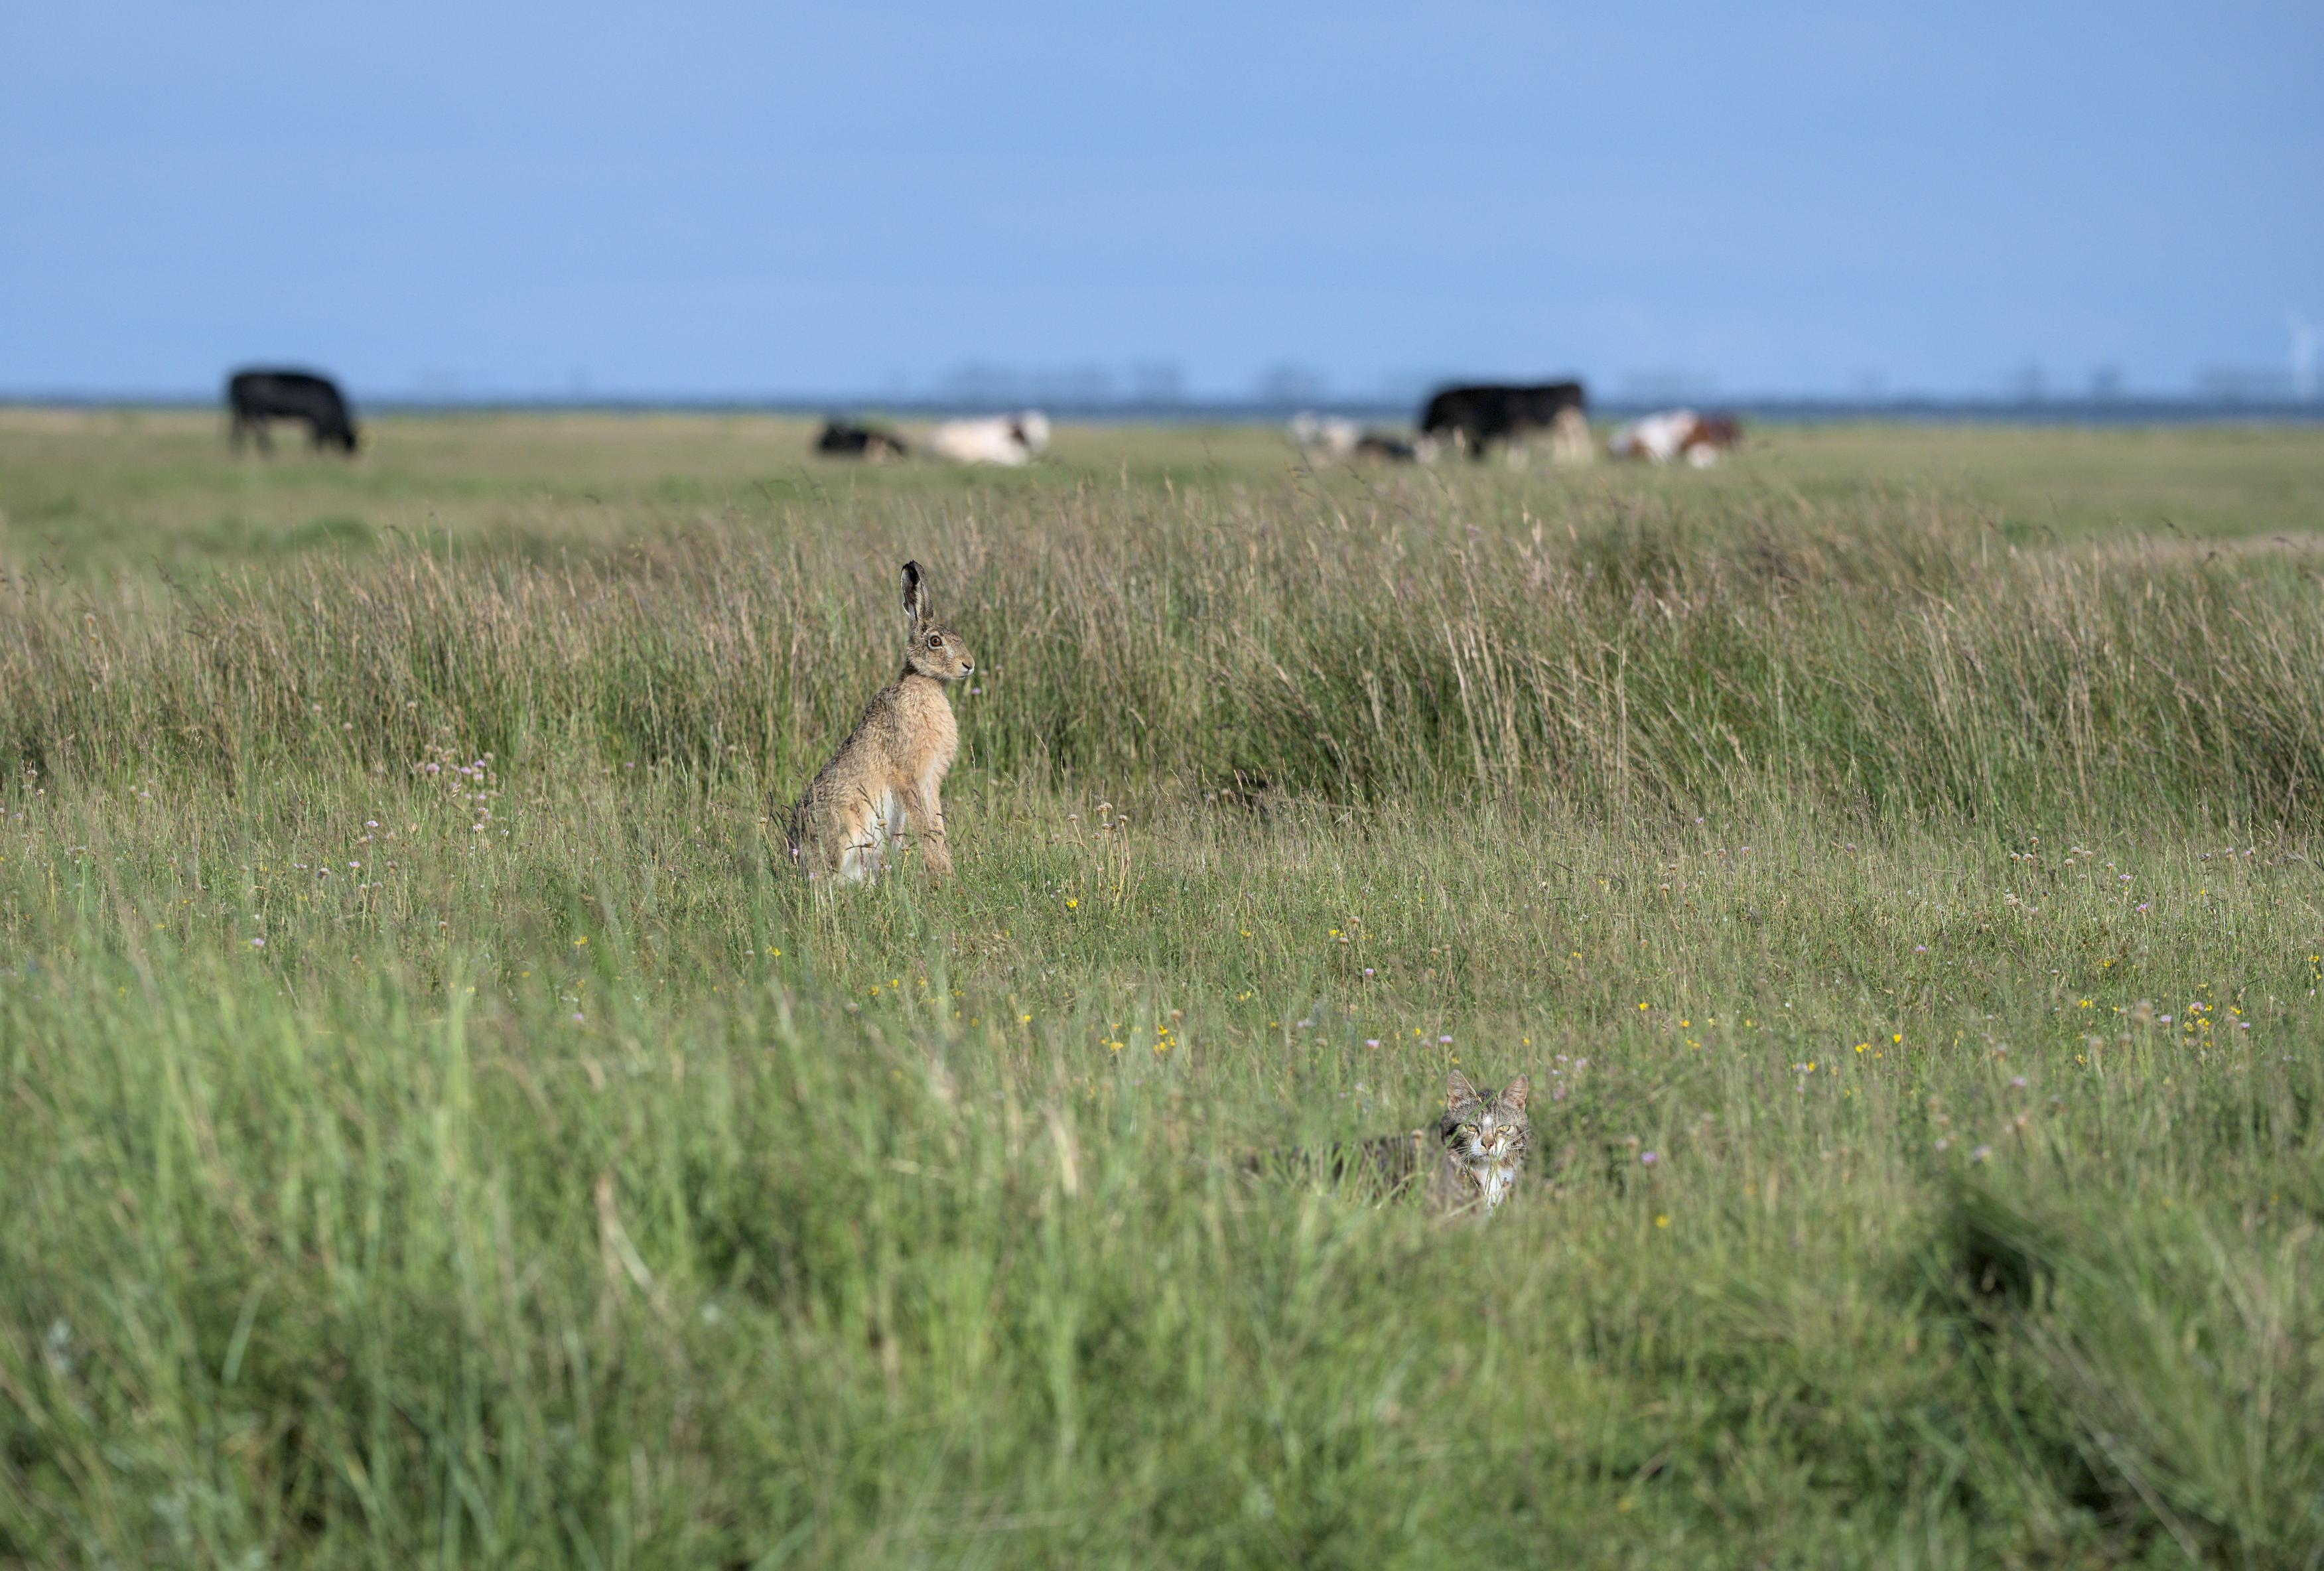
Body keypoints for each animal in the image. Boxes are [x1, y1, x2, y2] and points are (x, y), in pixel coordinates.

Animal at [226, 368, 359, 454]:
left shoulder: (314, 421)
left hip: (244, 410)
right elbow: (318, 438)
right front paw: (316, 454)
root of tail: (239, 377)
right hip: (256, 410)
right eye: (351, 440)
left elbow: (314, 437)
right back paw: (267, 452)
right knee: (258, 429)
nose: (351, 455)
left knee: (239, 429)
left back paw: (238, 453)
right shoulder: (318, 419)